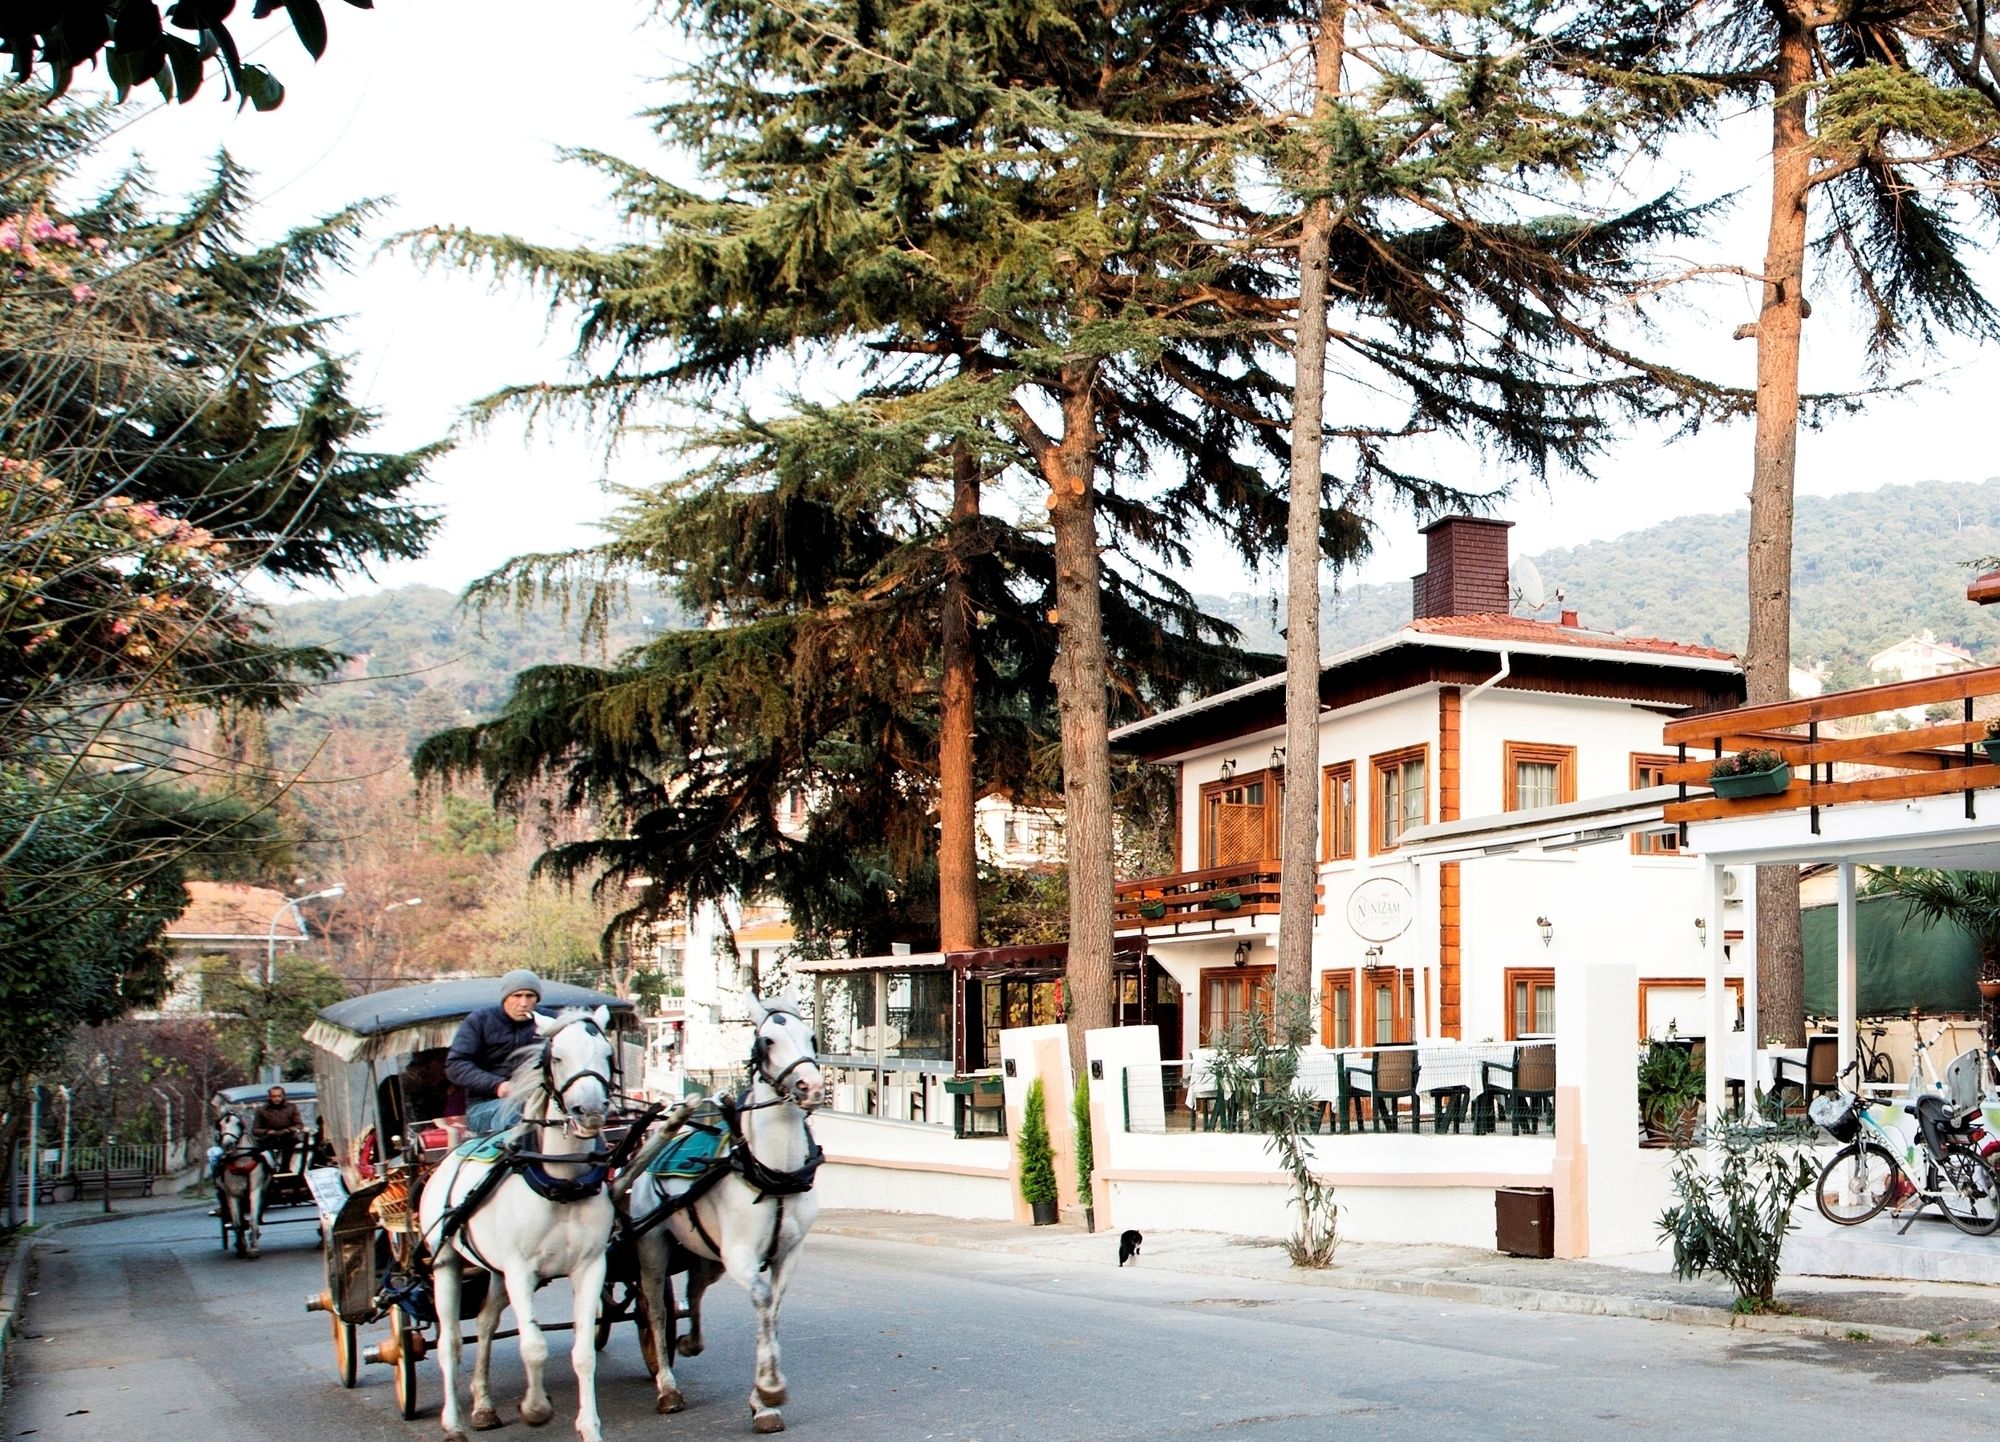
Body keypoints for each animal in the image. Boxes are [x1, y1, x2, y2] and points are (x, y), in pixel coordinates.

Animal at [214, 1112, 272, 1256]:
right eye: (220, 1125)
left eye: (239, 1124)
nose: (228, 1144)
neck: (241, 1162)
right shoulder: (233, 1194)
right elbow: (237, 1223)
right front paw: (241, 1246)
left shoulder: (255, 1190)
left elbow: (253, 1219)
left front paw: (253, 1248)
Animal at [416, 1000, 616, 1440]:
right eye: (557, 1057)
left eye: (608, 1054)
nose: (591, 1112)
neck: (560, 1183)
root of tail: (450, 1154)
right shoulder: (521, 1270)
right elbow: (534, 1346)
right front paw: (536, 1408)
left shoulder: (591, 1267)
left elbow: (583, 1353)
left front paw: (589, 1426)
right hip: (446, 1264)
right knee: (450, 1343)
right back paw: (453, 1421)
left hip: (494, 1271)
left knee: (486, 1326)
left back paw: (483, 1406)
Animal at [616, 992, 820, 1432]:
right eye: (767, 1041)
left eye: (811, 1035)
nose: (810, 1087)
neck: (772, 1171)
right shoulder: (741, 1255)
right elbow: (762, 1300)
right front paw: (770, 1389)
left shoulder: (788, 1253)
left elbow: (772, 1313)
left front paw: (762, 1402)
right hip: (653, 1247)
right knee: (655, 1310)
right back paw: (667, 1387)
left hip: (706, 1254)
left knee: (695, 1288)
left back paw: (692, 1341)